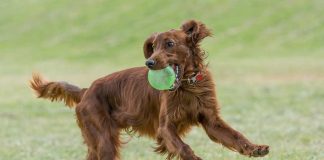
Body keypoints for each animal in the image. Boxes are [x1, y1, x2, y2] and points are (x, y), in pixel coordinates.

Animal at [29, 20, 268, 160]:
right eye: (153, 46)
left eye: (170, 44)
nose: (149, 63)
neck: (188, 86)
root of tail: (86, 91)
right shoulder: (165, 127)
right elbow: (183, 147)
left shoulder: (211, 121)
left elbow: (236, 136)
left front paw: (255, 148)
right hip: (104, 140)